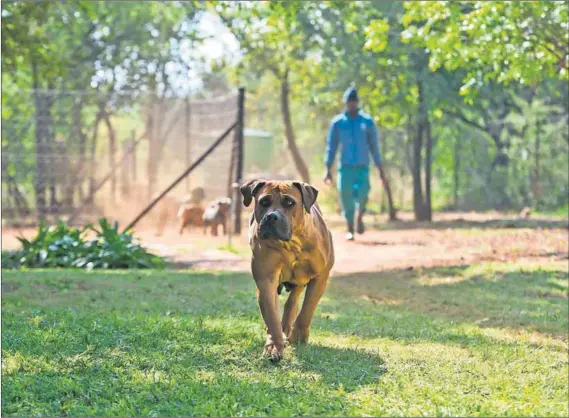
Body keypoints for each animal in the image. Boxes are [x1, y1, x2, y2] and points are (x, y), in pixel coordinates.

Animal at [239, 178, 332, 360]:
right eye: (264, 202)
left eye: (289, 202)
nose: (271, 216)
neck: (292, 243)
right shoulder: (266, 279)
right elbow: (271, 315)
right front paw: (274, 345)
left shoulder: (320, 277)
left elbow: (307, 309)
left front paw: (299, 336)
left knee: (293, 302)